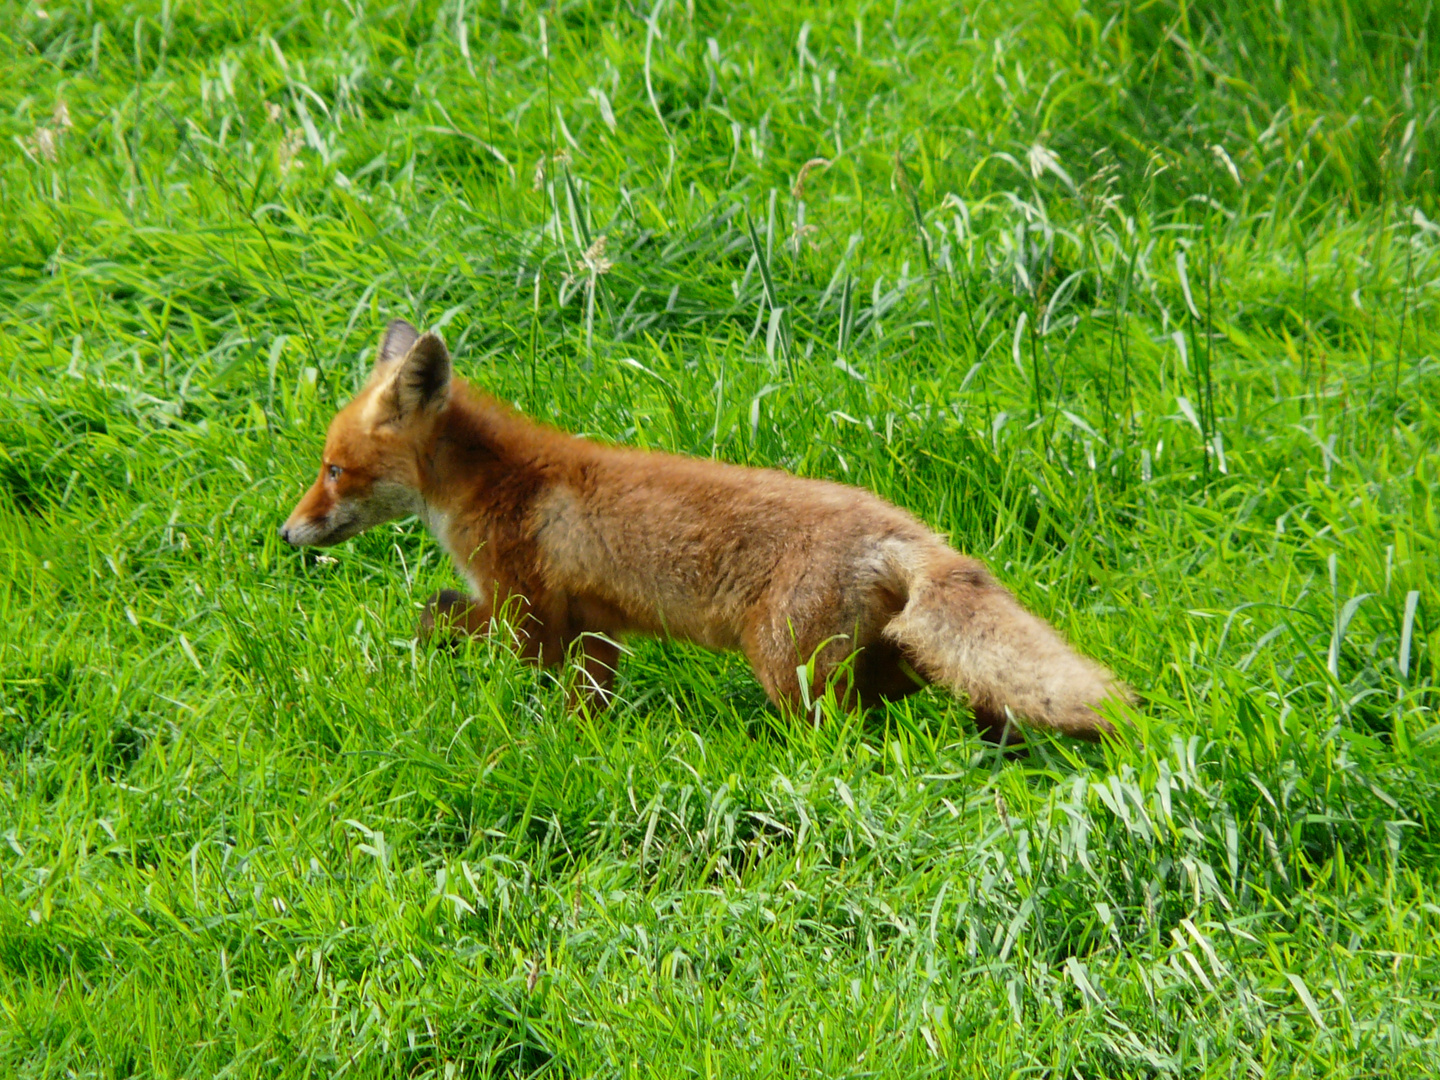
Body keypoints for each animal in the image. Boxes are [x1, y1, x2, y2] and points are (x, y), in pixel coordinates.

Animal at [280, 321, 1128, 743]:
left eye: (333, 469)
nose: (287, 534)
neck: (498, 484)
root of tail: (905, 530)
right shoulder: (596, 635)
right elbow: (585, 705)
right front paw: (582, 750)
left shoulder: (528, 619)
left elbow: (436, 614)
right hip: (883, 662)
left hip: (789, 674)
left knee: (852, 738)